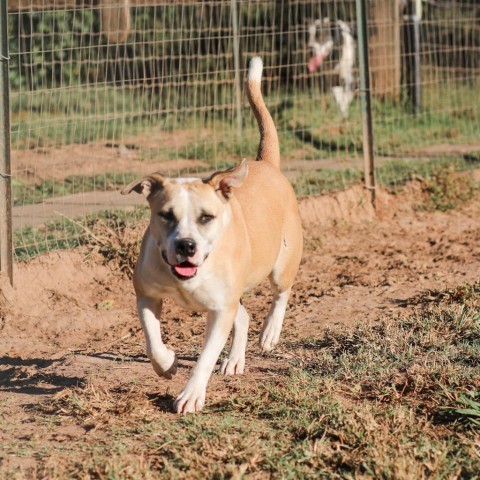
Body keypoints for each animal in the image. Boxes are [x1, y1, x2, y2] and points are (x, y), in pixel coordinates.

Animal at [123, 57, 304, 412]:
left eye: (206, 217)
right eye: (166, 215)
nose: (186, 245)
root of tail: (267, 165)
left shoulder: (220, 311)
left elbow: (205, 357)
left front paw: (191, 395)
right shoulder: (147, 294)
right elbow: (152, 340)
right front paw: (167, 364)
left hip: (281, 264)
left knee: (281, 293)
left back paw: (270, 333)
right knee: (244, 315)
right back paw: (234, 360)